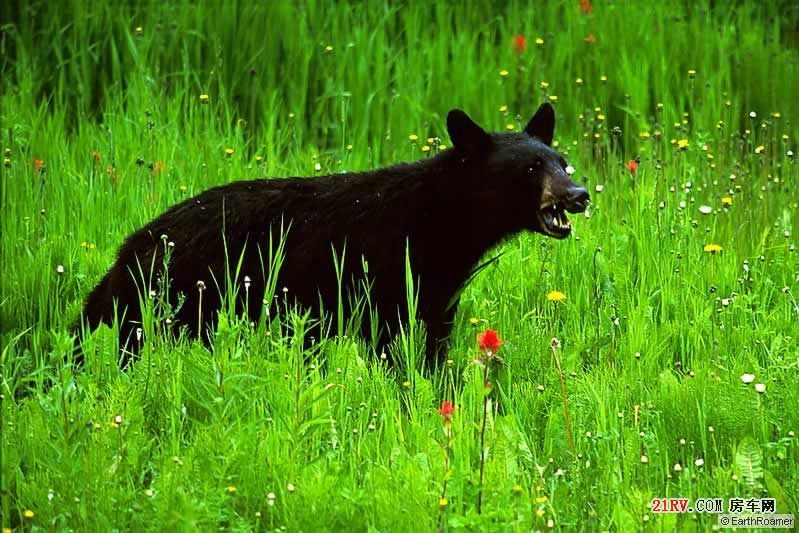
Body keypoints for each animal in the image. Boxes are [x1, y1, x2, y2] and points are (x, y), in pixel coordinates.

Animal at [79, 102, 588, 364]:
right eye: (530, 168)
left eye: (561, 161)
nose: (579, 193)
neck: (443, 223)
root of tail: (127, 250)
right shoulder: (386, 278)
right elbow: (393, 350)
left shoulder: (438, 292)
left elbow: (433, 346)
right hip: (171, 301)